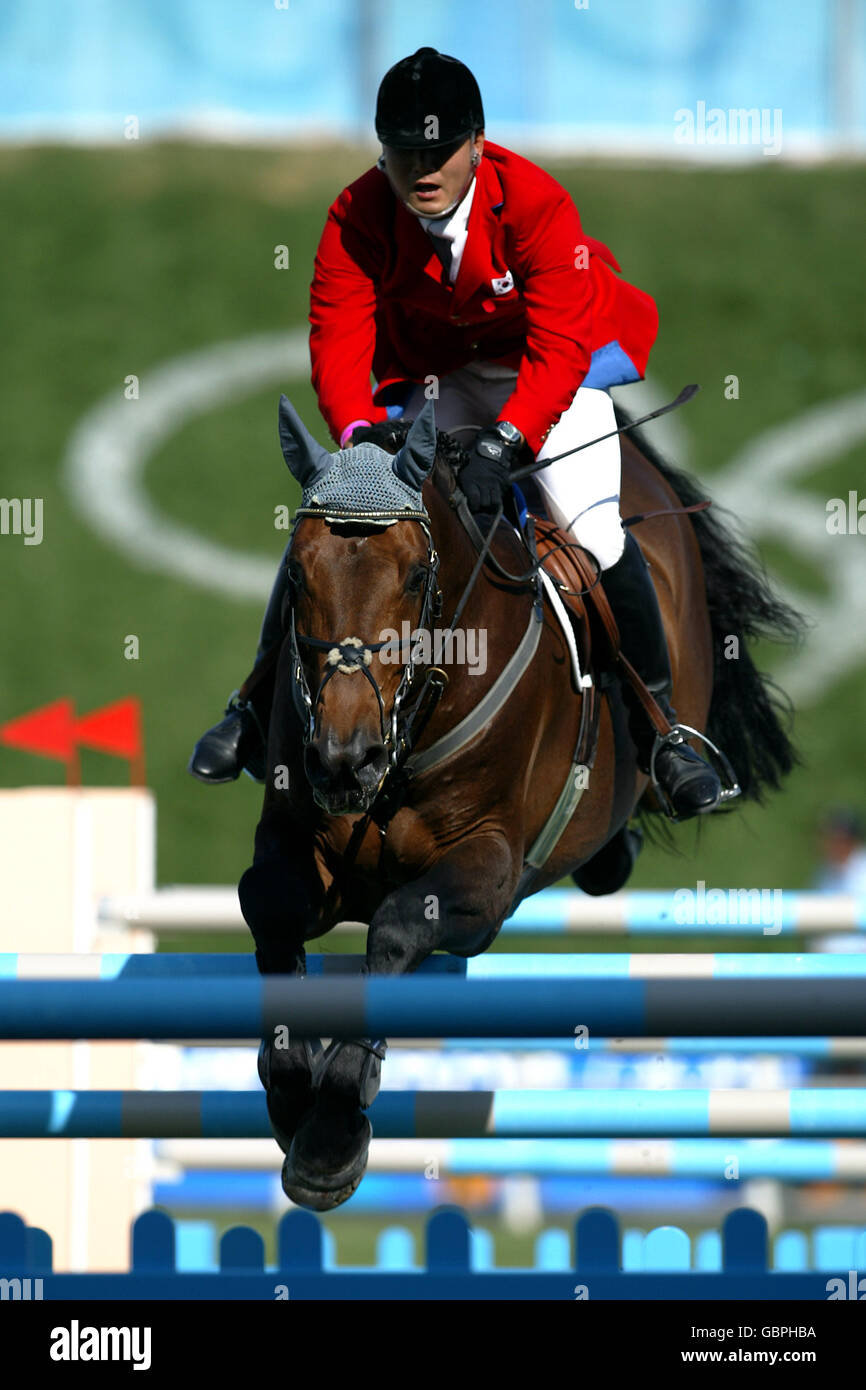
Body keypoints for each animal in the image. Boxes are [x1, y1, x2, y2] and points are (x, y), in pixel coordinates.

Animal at [237, 391, 800, 1206]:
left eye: (417, 575)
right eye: (298, 572)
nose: (345, 760)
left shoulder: (488, 878)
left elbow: (398, 928)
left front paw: (331, 1134)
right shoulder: (296, 843)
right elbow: (268, 906)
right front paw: (289, 1096)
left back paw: (674, 766)